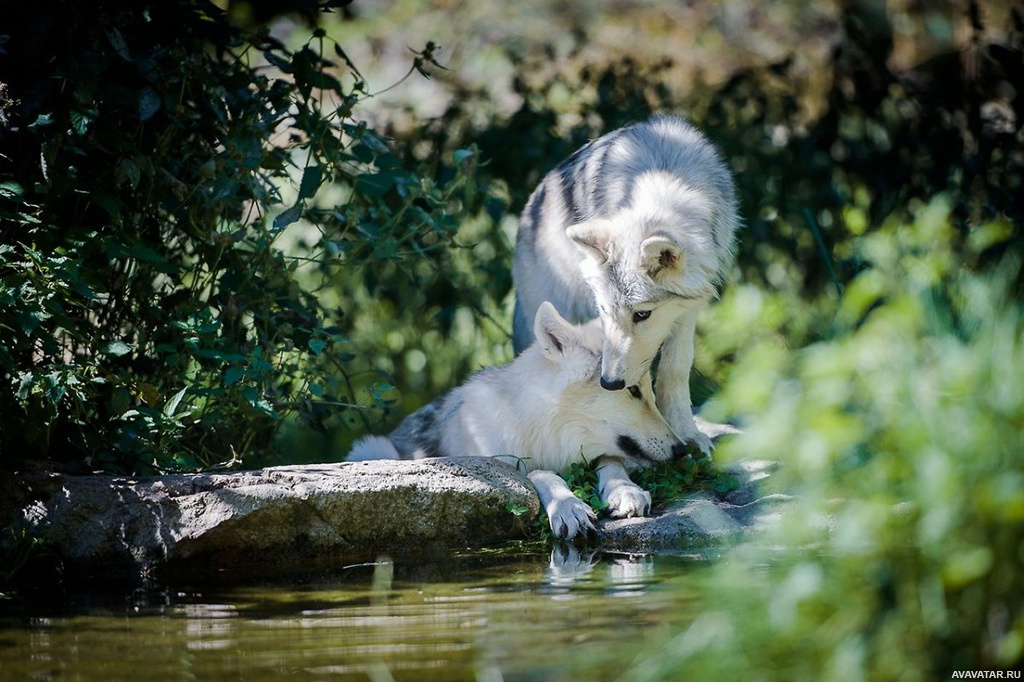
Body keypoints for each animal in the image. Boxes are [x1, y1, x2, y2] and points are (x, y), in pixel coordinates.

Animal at [350, 301, 688, 540]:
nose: (682, 449)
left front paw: (624, 490)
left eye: (648, 389)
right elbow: (540, 474)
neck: (548, 433)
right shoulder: (502, 463)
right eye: (631, 390)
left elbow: (612, 461)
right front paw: (568, 506)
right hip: (373, 448)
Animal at [509, 114, 737, 454]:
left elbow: (675, 369)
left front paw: (687, 433)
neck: (662, 176)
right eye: (605, 311)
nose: (610, 383)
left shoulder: (689, 308)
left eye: (642, 315)